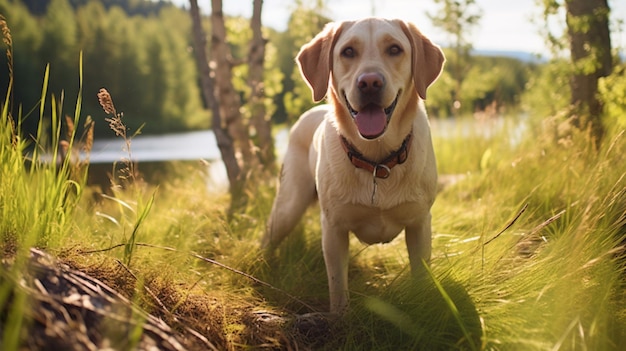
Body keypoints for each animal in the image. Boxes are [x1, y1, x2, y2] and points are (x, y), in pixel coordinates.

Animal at [262, 17, 444, 314]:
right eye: (348, 51)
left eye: (394, 49)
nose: (369, 82)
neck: (377, 161)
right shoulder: (334, 228)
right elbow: (338, 287)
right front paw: (340, 319)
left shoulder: (419, 223)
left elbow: (421, 278)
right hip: (288, 206)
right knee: (268, 237)